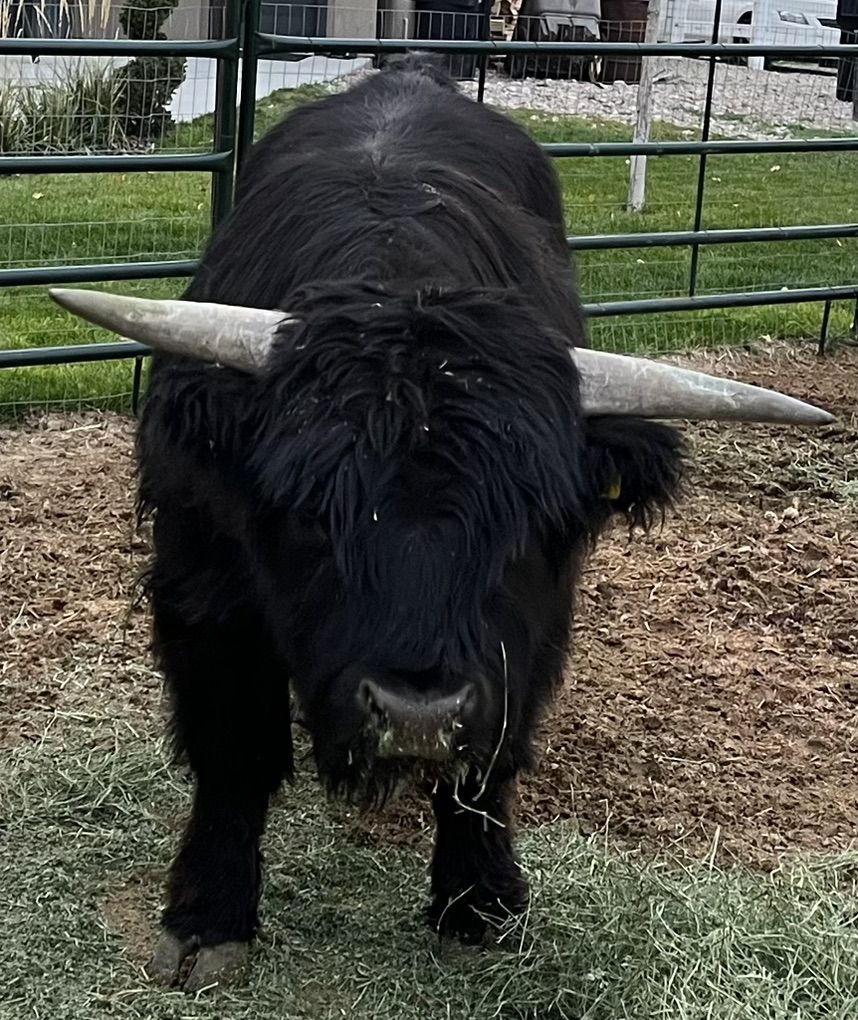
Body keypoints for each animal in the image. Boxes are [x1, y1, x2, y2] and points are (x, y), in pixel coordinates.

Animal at [50, 53, 833, 992]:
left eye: (524, 523)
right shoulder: (202, 589)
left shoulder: (533, 625)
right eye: (311, 514)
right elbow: (232, 751)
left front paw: (479, 901)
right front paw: (208, 918)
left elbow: (491, 756)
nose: (416, 713)